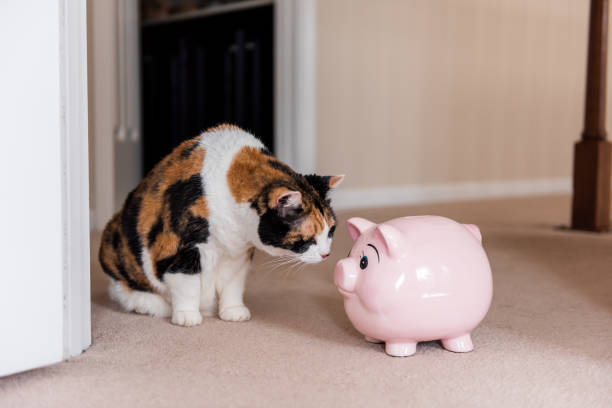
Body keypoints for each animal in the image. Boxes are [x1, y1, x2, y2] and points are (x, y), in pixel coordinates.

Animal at [98, 122, 342, 326]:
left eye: (331, 231)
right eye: (307, 240)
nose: (326, 254)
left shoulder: (239, 254)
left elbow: (233, 284)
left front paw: (233, 310)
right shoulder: (183, 248)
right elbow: (186, 284)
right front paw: (187, 315)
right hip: (115, 246)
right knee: (124, 290)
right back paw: (152, 305)